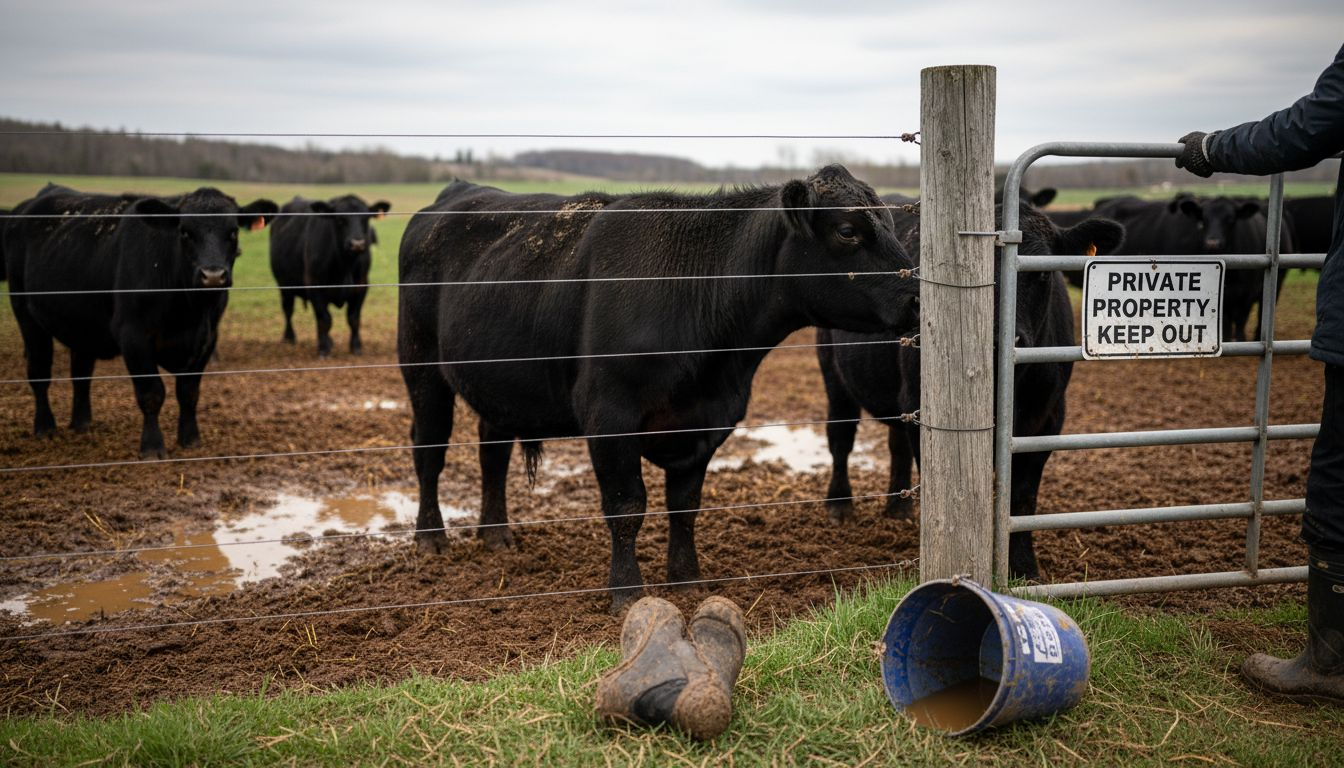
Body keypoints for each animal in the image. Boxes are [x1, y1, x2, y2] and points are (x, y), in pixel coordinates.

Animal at [3, 185, 277, 458]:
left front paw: (190, 439)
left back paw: (82, 423)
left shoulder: (207, 339)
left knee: (81, 373)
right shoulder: (133, 336)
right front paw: (153, 447)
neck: (187, 311)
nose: (212, 276)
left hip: (81, 325)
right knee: (39, 372)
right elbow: (151, 393)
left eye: (233, 232)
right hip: (26, 314)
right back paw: (45, 427)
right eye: (184, 232)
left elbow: (189, 392)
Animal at [268, 195, 391, 357]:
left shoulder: (361, 286)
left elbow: (353, 318)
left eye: (366, 218)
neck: (345, 266)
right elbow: (325, 319)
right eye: (340, 219)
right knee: (288, 309)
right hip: (284, 285)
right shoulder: (315, 286)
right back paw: (289, 337)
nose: (357, 244)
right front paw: (324, 348)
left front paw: (355, 346)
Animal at [398, 165, 920, 610]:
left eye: (892, 224)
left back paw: (496, 534)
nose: (918, 295)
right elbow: (626, 506)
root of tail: (458, 191)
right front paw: (627, 591)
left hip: (500, 384)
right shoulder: (609, 416)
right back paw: (431, 538)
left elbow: (684, 507)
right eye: (848, 231)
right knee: (429, 449)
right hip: (421, 366)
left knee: (493, 451)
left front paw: (687, 579)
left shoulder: (708, 421)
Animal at [817, 201, 1124, 581]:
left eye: (1041, 274)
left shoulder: (1047, 418)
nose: (1001, 340)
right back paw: (840, 505)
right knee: (841, 436)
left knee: (894, 442)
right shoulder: (923, 408)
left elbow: (1022, 498)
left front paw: (1024, 569)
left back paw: (898, 508)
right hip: (834, 375)